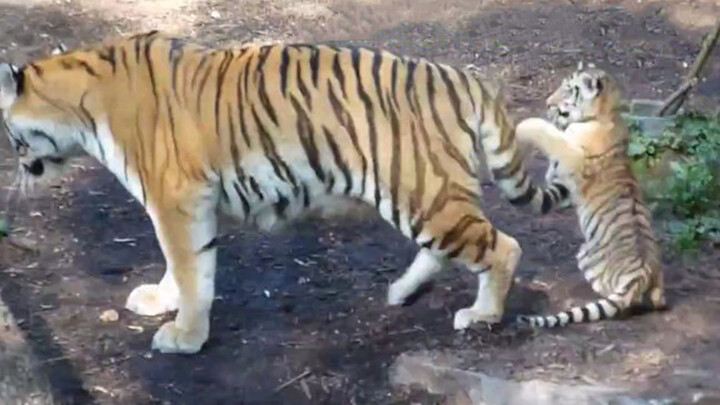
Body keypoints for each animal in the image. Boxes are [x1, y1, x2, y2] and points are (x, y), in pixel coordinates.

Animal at [0, 32, 556, 354]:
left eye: (9, 132)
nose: (20, 169)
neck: (84, 105)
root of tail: (462, 77)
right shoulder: (190, 204)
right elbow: (185, 267)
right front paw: (165, 302)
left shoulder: (176, 199)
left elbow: (189, 268)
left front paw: (184, 337)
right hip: (425, 195)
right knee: (450, 248)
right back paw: (402, 291)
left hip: (423, 192)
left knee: (504, 246)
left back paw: (483, 315)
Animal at [516, 64, 668, 328]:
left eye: (568, 89)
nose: (547, 103)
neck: (607, 113)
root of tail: (641, 274)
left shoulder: (571, 154)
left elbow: (549, 134)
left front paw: (525, 125)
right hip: (658, 288)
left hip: (585, 256)